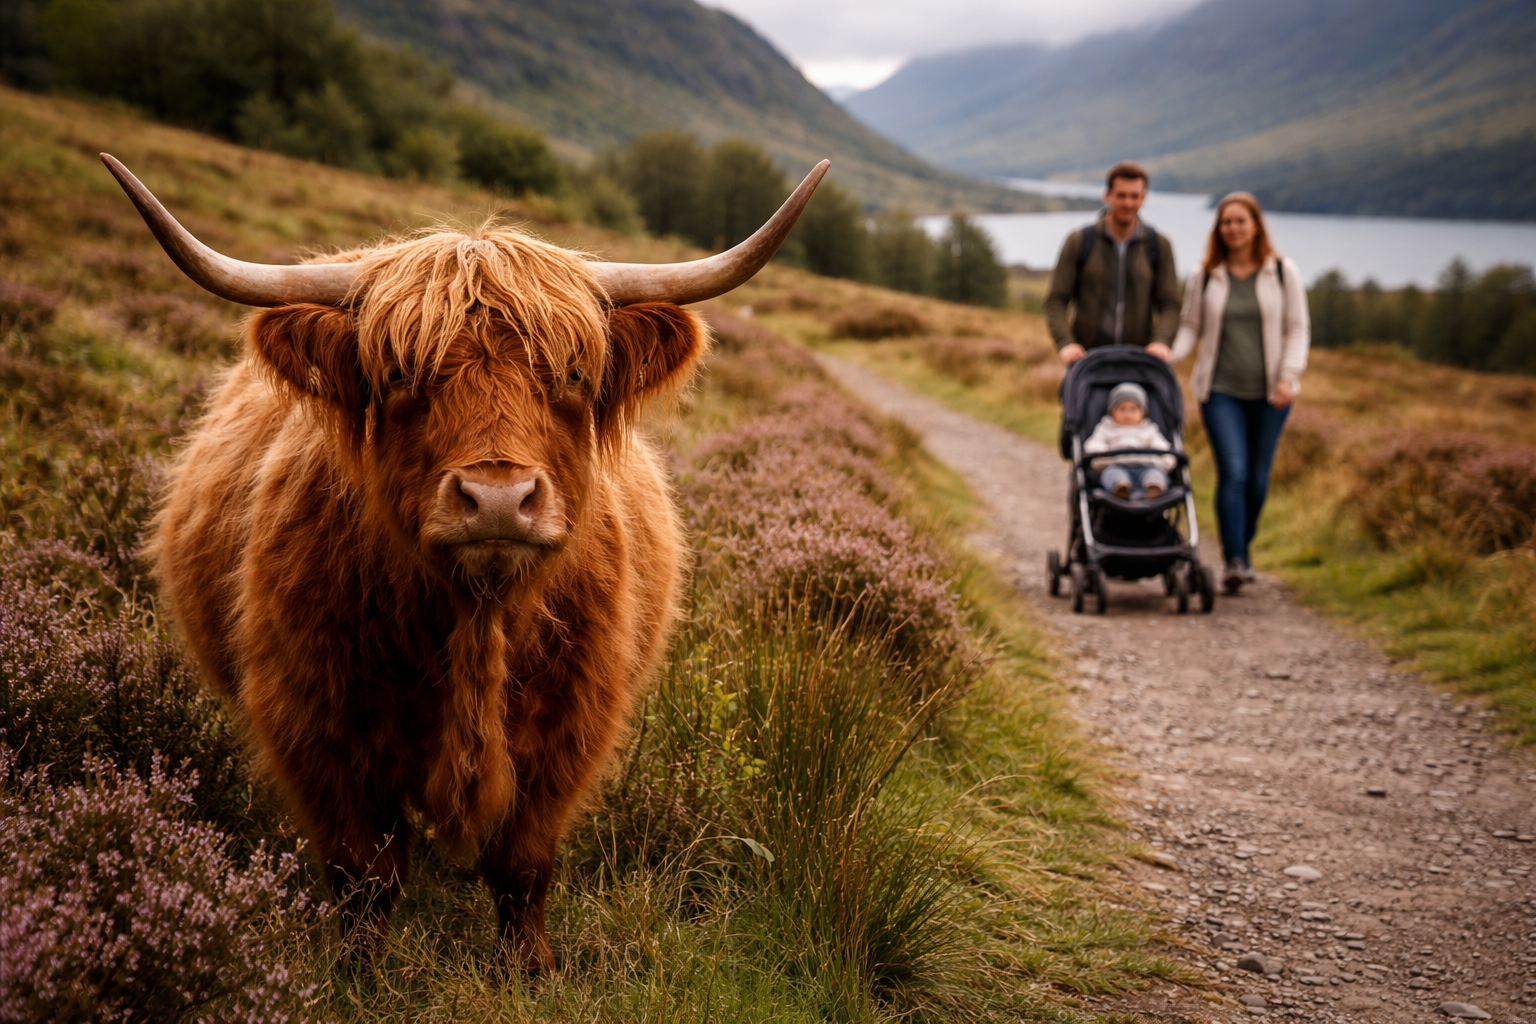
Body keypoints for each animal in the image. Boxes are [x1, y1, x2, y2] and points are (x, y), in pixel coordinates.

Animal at [100, 153, 828, 970]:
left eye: (572, 376)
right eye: (398, 377)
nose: (499, 499)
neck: (475, 621)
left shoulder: (570, 727)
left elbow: (522, 865)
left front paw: (530, 970)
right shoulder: (314, 721)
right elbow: (364, 873)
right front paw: (358, 974)